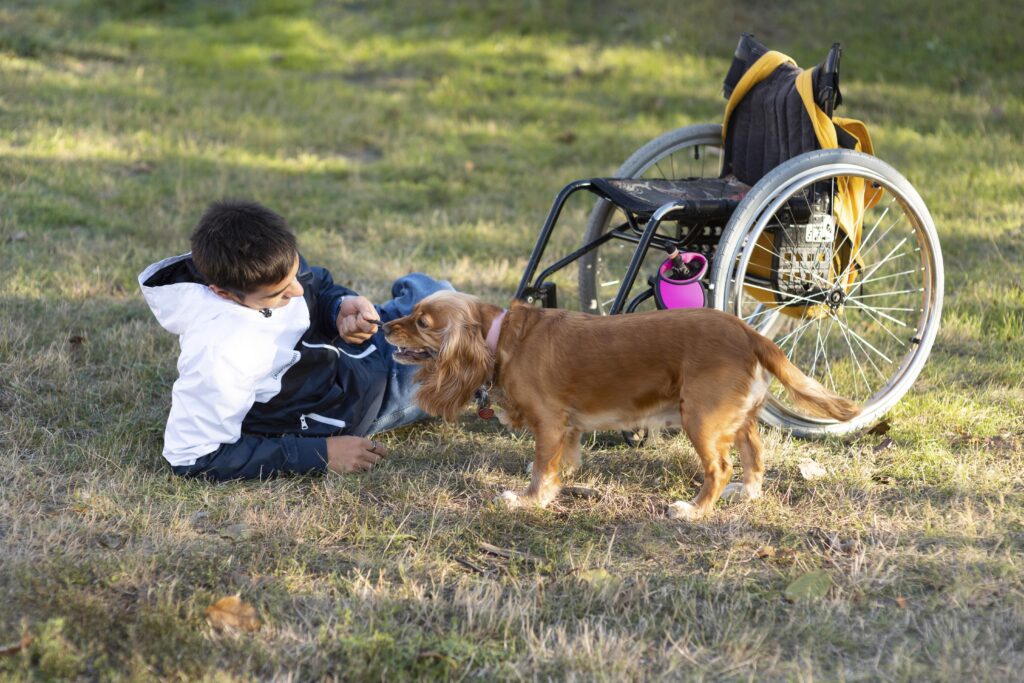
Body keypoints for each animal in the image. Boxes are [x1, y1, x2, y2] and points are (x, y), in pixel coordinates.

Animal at [382, 290, 856, 520]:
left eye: (421, 322)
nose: (384, 326)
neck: (500, 339)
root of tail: (748, 332)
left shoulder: (549, 422)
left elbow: (541, 468)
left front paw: (530, 500)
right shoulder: (567, 427)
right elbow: (559, 460)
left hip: (700, 417)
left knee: (719, 468)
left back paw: (695, 511)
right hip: (735, 418)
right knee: (754, 454)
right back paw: (747, 491)